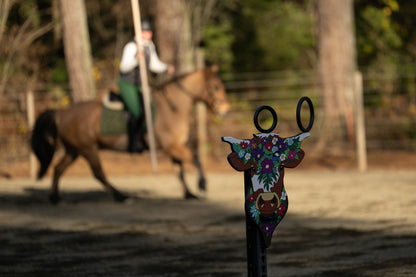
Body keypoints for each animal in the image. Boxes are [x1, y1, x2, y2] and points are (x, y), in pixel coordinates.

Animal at [30, 64, 229, 203]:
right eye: (216, 86)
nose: (225, 111)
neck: (173, 108)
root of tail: (62, 113)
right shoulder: (173, 147)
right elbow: (196, 160)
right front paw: (202, 188)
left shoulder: (174, 147)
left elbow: (179, 170)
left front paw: (189, 194)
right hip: (88, 149)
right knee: (98, 173)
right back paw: (121, 197)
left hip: (74, 150)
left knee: (58, 168)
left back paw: (55, 198)